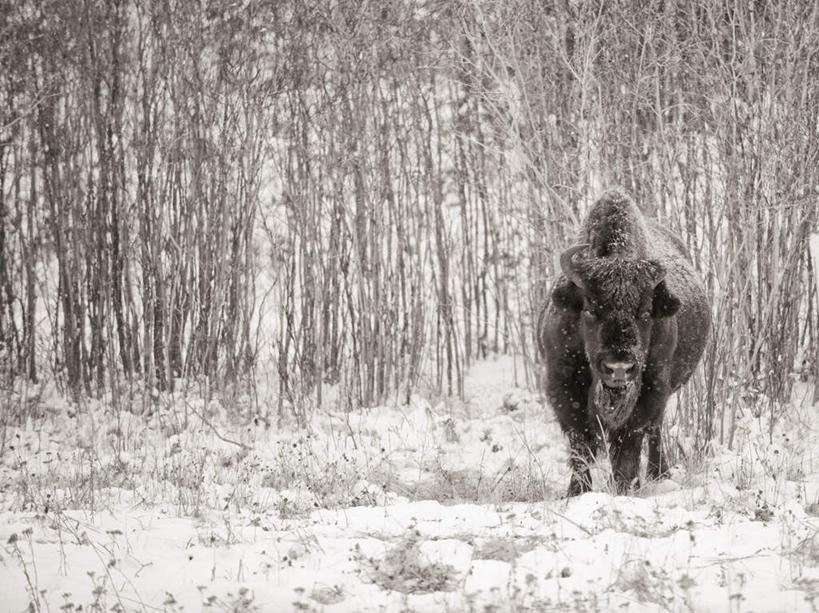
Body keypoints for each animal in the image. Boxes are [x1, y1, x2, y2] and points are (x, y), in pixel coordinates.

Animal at [540, 189, 712, 494]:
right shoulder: (563, 384)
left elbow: (629, 443)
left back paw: (658, 474)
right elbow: (580, 444)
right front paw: (577, 492)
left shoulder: (652, 388)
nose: (618, 367)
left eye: (644, 313)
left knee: (655, 431)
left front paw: (623, 488)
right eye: (589, 310)